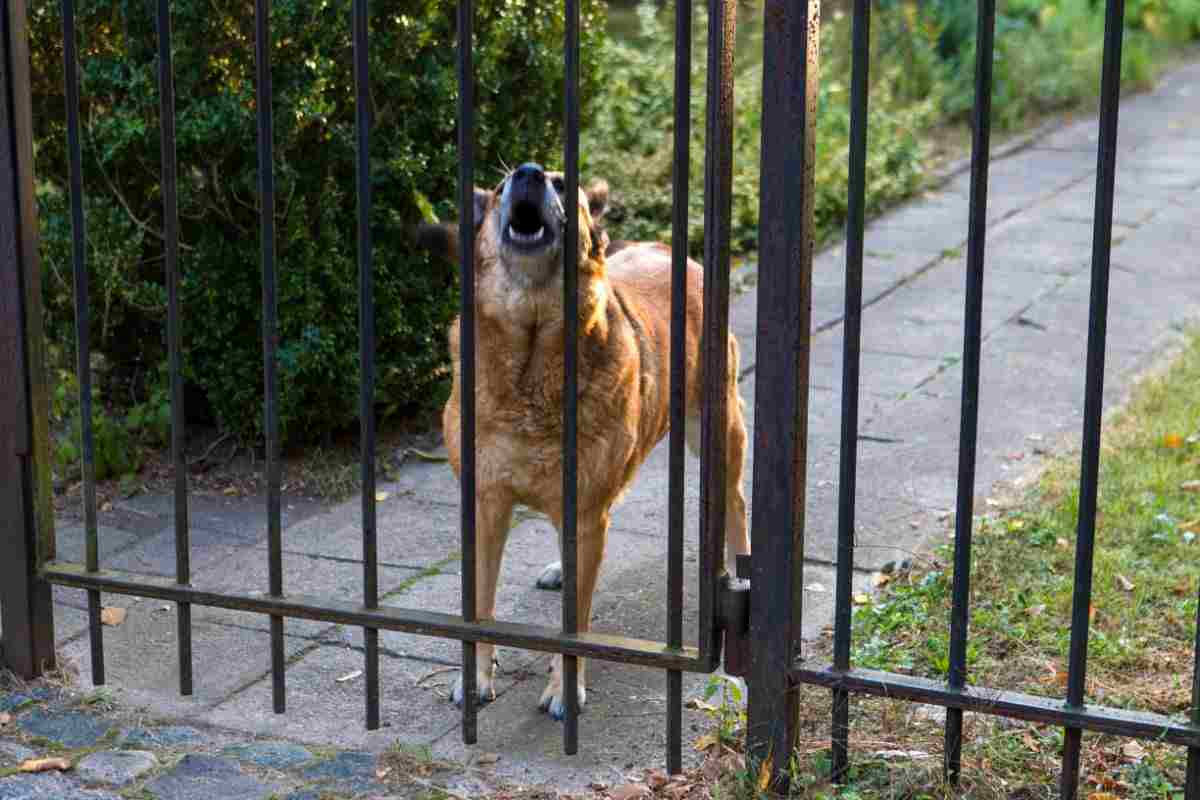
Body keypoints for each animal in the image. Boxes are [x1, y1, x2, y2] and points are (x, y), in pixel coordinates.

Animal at [417, 164, 744, 719]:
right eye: (501, 188)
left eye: (560, 182)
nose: (527, 173)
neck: (529, 363)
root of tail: (666, 248)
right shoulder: (485, 503)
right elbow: (480, 605)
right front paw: (476, 677)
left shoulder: (587, 509)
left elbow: (576, 624)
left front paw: (564, 689)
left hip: (717, 431)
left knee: (737, 503)